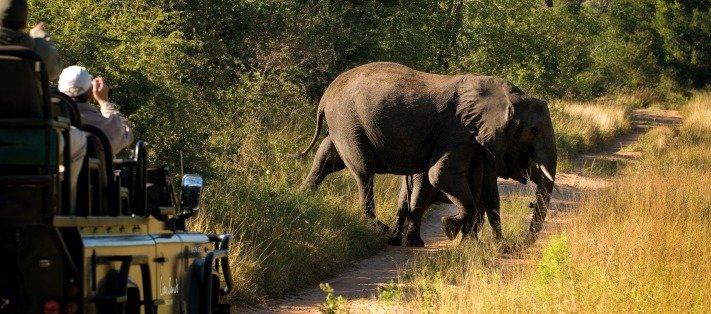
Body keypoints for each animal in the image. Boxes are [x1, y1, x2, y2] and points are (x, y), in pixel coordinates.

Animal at [294, 62, 556, 242]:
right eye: (533, 130)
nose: (520, 242)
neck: (504, 95)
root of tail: (326, 95)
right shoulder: (457, 131)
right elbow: (441, 175)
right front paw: (449, 227)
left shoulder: (473, 141)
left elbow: (474, 181)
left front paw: (469, 241)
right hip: (348, 122)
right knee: (363, 171)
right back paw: (379, 228)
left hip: (342, 124)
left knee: (326, 158)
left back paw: (302, 198)